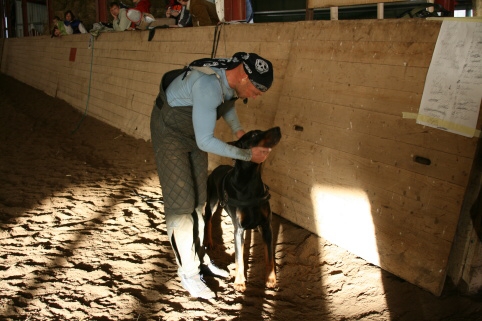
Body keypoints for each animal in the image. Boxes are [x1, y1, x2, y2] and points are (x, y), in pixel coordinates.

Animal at [204, 126, 282, 292]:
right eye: (253, 135)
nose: (278, 128)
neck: (250, 181)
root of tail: (218, 167)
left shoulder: (267, 226)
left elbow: (270, 256)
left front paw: (271, 279)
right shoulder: (239, 230)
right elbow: (239, 258)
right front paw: (239, 282)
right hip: (211, 201)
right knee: (208, 220)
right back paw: (208, 241)